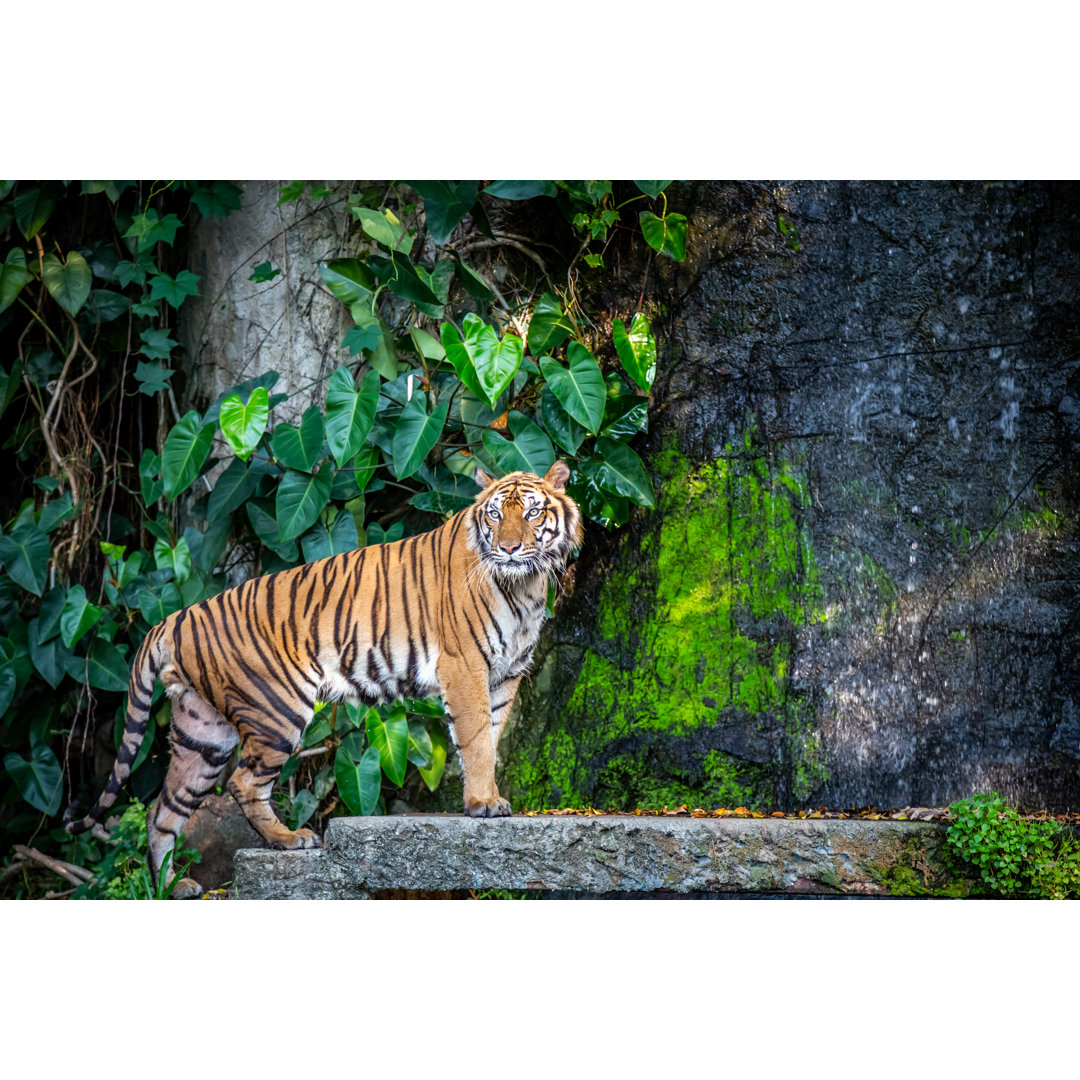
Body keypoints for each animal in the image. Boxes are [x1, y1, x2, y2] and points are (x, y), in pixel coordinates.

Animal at [66, 460, 583, 898]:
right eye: (495, 515)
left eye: (533, 512)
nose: (508, 549)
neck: (525, 585)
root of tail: (173, 617)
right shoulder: (465, 666)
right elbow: (476, 740)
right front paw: (483, 804)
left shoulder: (506, 674)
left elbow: (491, 737)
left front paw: (487, 798)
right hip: (276, 710)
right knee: (243, 784)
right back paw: (289, 839)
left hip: (204, 734)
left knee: (162, 810)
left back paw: (174, 887)